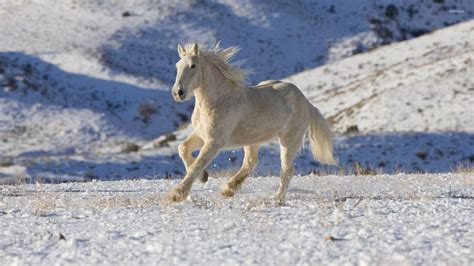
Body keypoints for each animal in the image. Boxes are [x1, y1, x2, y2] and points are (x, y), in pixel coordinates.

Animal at [168, 42, 336, 203]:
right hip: (253, 140)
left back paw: (277, 199)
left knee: (287, 170)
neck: (218, 100)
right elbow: (183, 149)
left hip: (289, 140)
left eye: (193, 66)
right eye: (177, 66)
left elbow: (197, 164)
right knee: (251, 162)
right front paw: (203, 177)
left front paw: (177, 194)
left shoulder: (214, 142)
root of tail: (306, 102)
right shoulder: (201, 134)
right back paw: (228, 189)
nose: (178, 93)